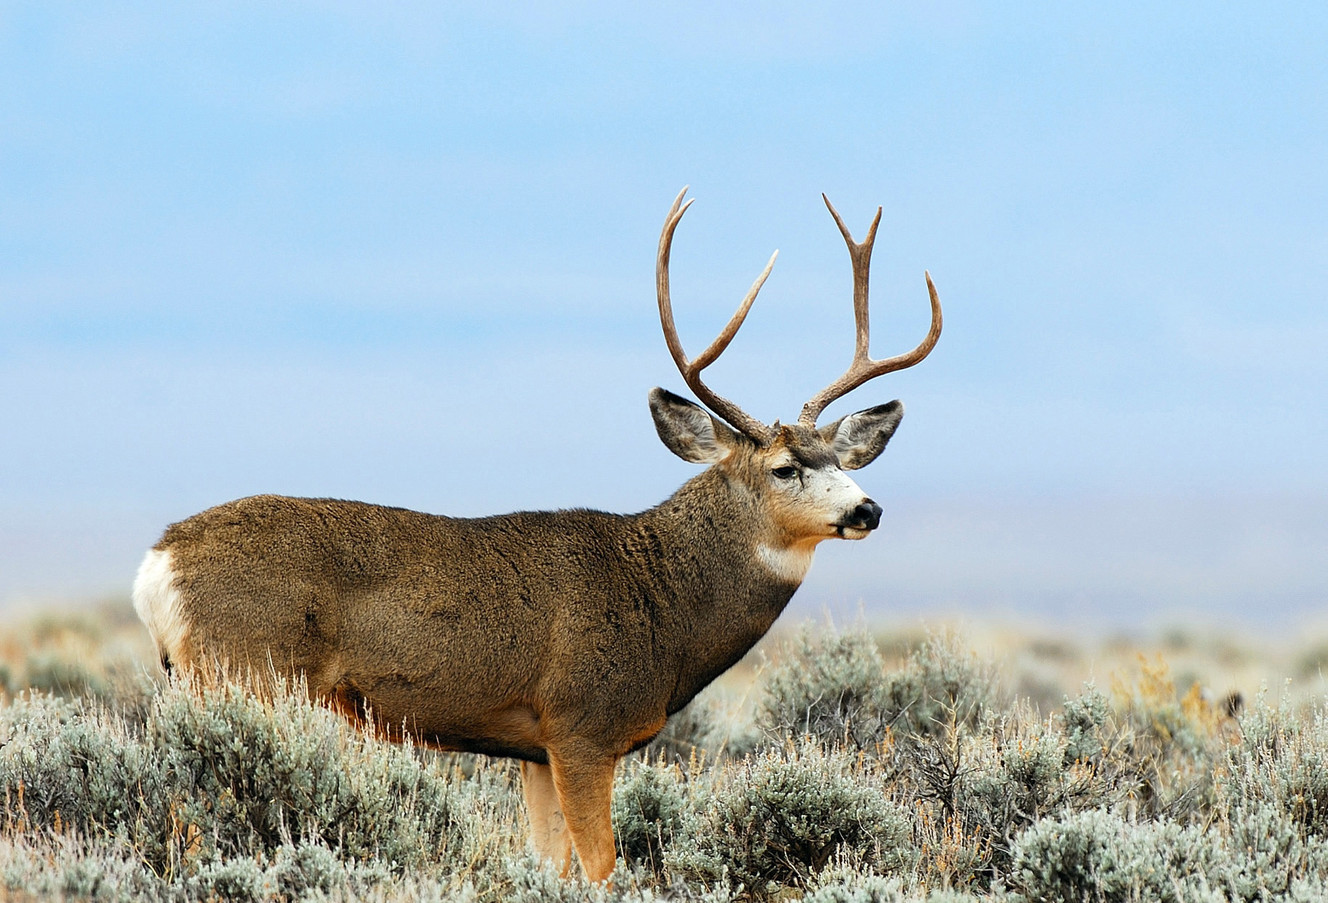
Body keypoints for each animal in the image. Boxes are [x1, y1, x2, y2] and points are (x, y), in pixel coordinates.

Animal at [131, 188, 942, 884]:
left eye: (842, 460)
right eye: (783, 467)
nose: (867, 509)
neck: (663, 602)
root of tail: (157, 563)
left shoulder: (534, 745)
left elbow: (550, 863)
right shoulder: (583, 724)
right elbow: (603, 865)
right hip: (241, 675)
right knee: (193, 816)